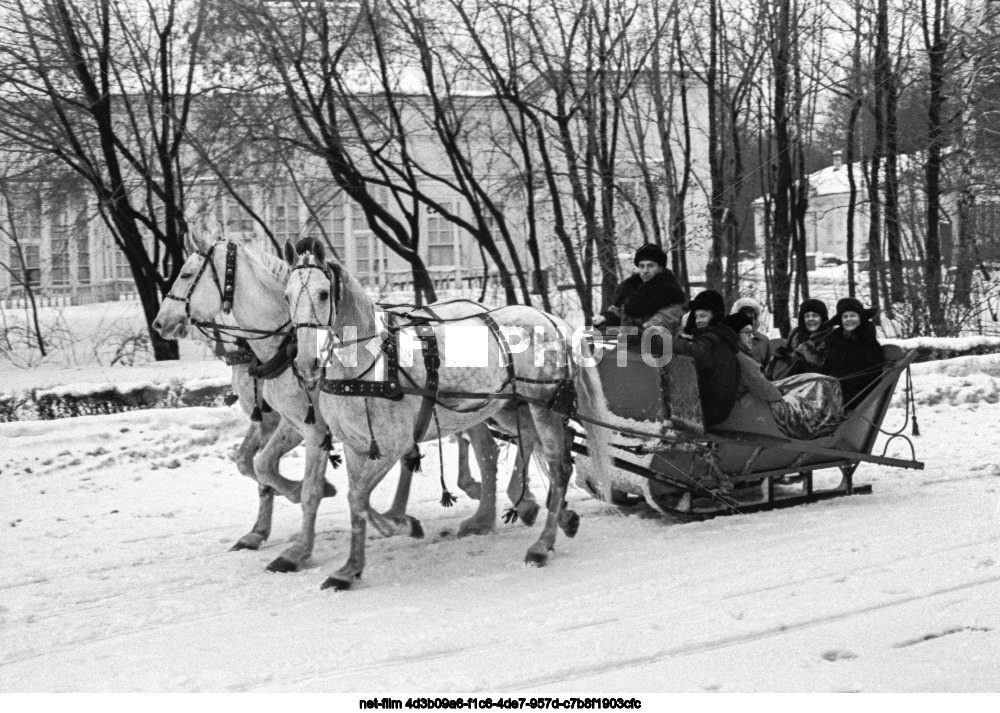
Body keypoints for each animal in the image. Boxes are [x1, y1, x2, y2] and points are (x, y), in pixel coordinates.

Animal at [284, 236, 616, 588]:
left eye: (323, 293)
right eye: (287, 295)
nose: (304, 362)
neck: (369, 364)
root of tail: (548, 318)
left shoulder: (391, 446)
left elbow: (358, 498)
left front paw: (403, 525)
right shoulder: (354, 447)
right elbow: (356, 505)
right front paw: (350, 568)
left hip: (543, 406)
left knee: (559, 465)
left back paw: (542, 543)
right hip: (508, 405)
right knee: (530, 443)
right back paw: (549, 511)